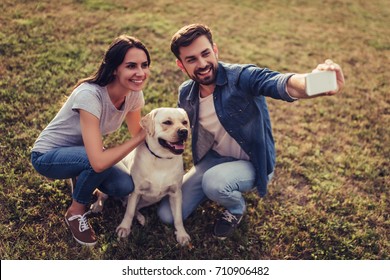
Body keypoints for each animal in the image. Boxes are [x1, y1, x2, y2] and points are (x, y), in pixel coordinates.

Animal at [112, 108, 191, 246]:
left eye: (185, 122)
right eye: (167, 122)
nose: (184, 131)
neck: (161, 159)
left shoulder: (176, 193)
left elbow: (178, 218)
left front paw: (181, 234)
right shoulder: (136, 191)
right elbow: (129, 212)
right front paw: (124, 227)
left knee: (131, 206)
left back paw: (140, 217)